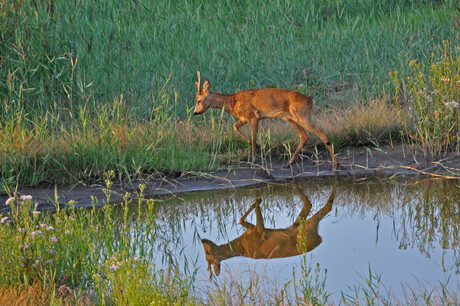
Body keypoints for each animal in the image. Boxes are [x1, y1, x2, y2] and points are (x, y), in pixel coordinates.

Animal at [192, 72, 340, 172]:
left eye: (199, 100)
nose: (195, 112)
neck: (232, 102)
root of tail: (311, 101)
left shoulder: (253, 116)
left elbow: (253, 136)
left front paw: (253, 160)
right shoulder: (244, 118)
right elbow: (235, 127)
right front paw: (256, 146)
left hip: (302, 115)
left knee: (322, 135)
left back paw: (336, 165)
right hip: (290, 118)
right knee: (304, 136)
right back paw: (288, 163)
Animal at [201, 180, 338, 278]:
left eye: (208, 254)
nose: (202, 240)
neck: (241, 246)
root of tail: (319, 239)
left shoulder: (259, 231)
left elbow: (250, 214)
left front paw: (258, 200)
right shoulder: (252, 230)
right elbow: (240, 219)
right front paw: (257, 200)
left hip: (305, 231)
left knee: (318, 206)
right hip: (300, 226)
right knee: (309, 206)